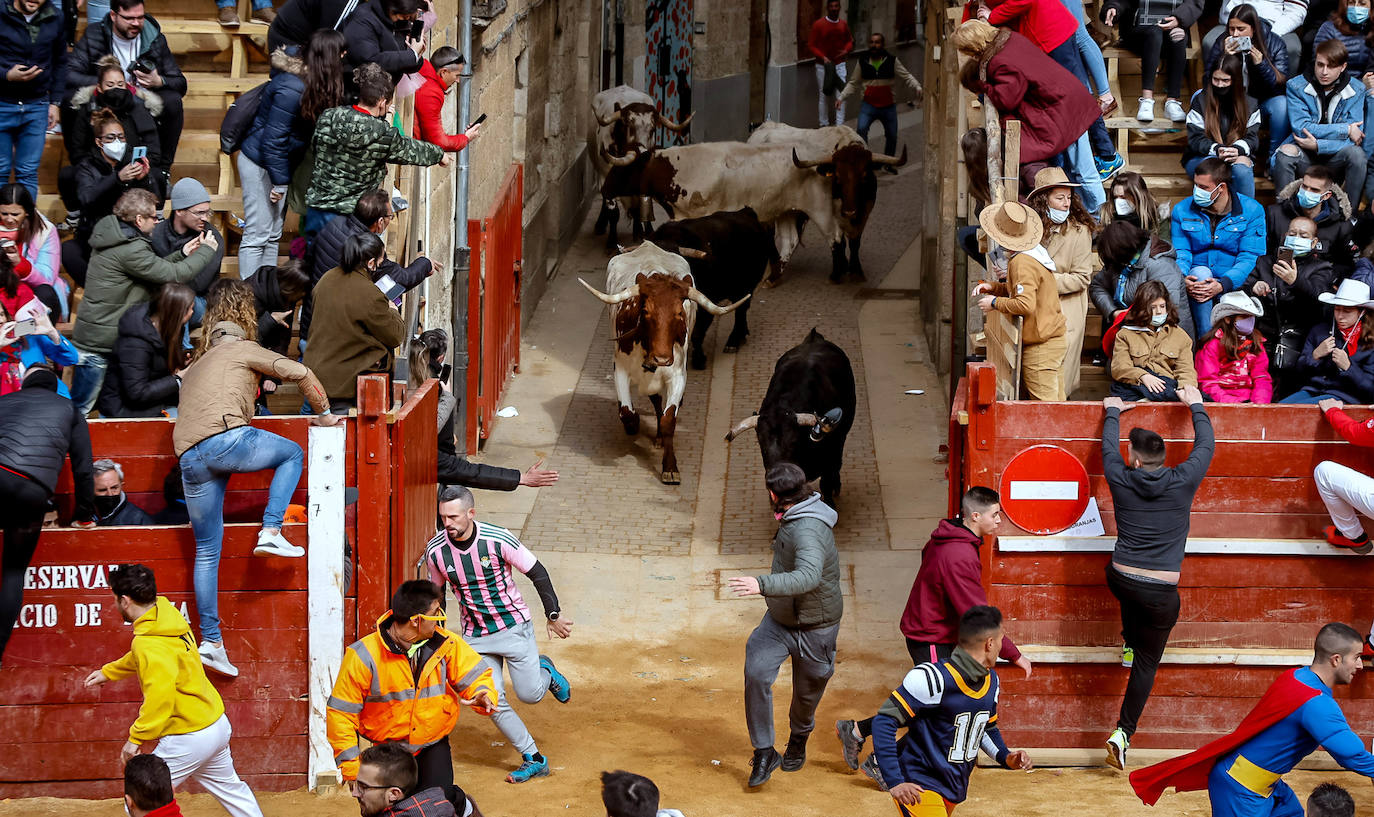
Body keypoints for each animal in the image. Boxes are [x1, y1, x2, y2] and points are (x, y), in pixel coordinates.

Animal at [593, 85, 692, 252]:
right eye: (628, 125)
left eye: (652, 129)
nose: (644, 154)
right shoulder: (605, 177)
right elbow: (613, 212)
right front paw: (611, 242)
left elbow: (641, 206)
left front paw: (642, 233)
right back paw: (600, 225)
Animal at [648, 208, 780, 367]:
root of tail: (746, 213)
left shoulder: (706, 303)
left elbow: (698, 333)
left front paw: (698, 359)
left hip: (746, 286)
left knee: (741, 310)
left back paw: (733, 341)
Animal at [747, 121, 906, 284]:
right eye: (837, 177)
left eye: (864, 175)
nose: (849, 211)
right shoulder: (831, 215)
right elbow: (839, 241)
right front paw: (840, 271)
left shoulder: (864, 214)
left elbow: (855, 242)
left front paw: (855, 271)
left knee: (788, 238)